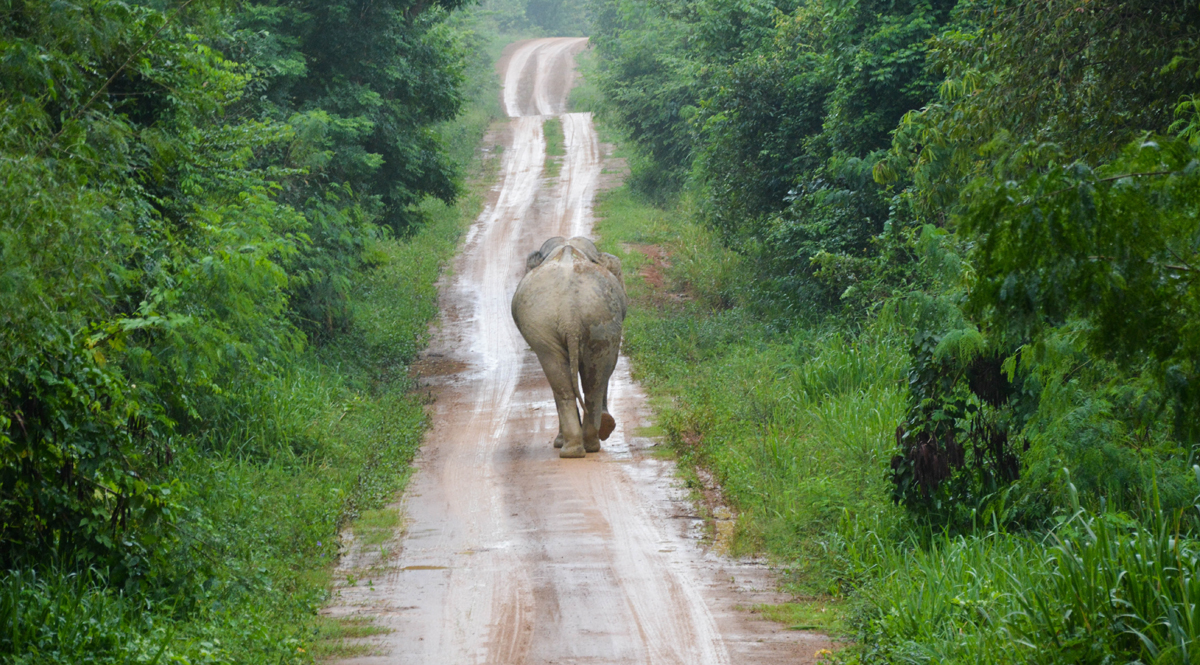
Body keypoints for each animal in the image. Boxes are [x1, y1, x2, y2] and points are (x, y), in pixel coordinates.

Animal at [511, 234, 628, 456]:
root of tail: (570, 316)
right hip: (594, 319)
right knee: (582, 381)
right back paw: (582, 446)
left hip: (591, 319)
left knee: (567, 379)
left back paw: (577, 447)